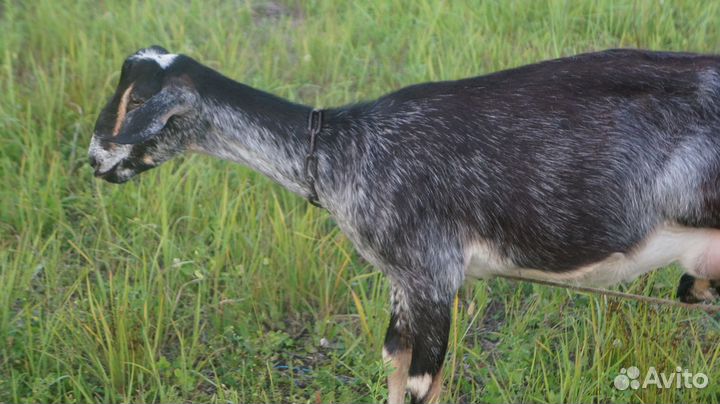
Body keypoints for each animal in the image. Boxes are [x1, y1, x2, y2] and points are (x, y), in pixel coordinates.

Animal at [88, 46, 720, 403]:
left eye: (136, 100)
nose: (95, 160)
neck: (342, 150)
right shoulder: (402, 285)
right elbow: (392, 365)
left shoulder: (434, 277)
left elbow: (420, 387)